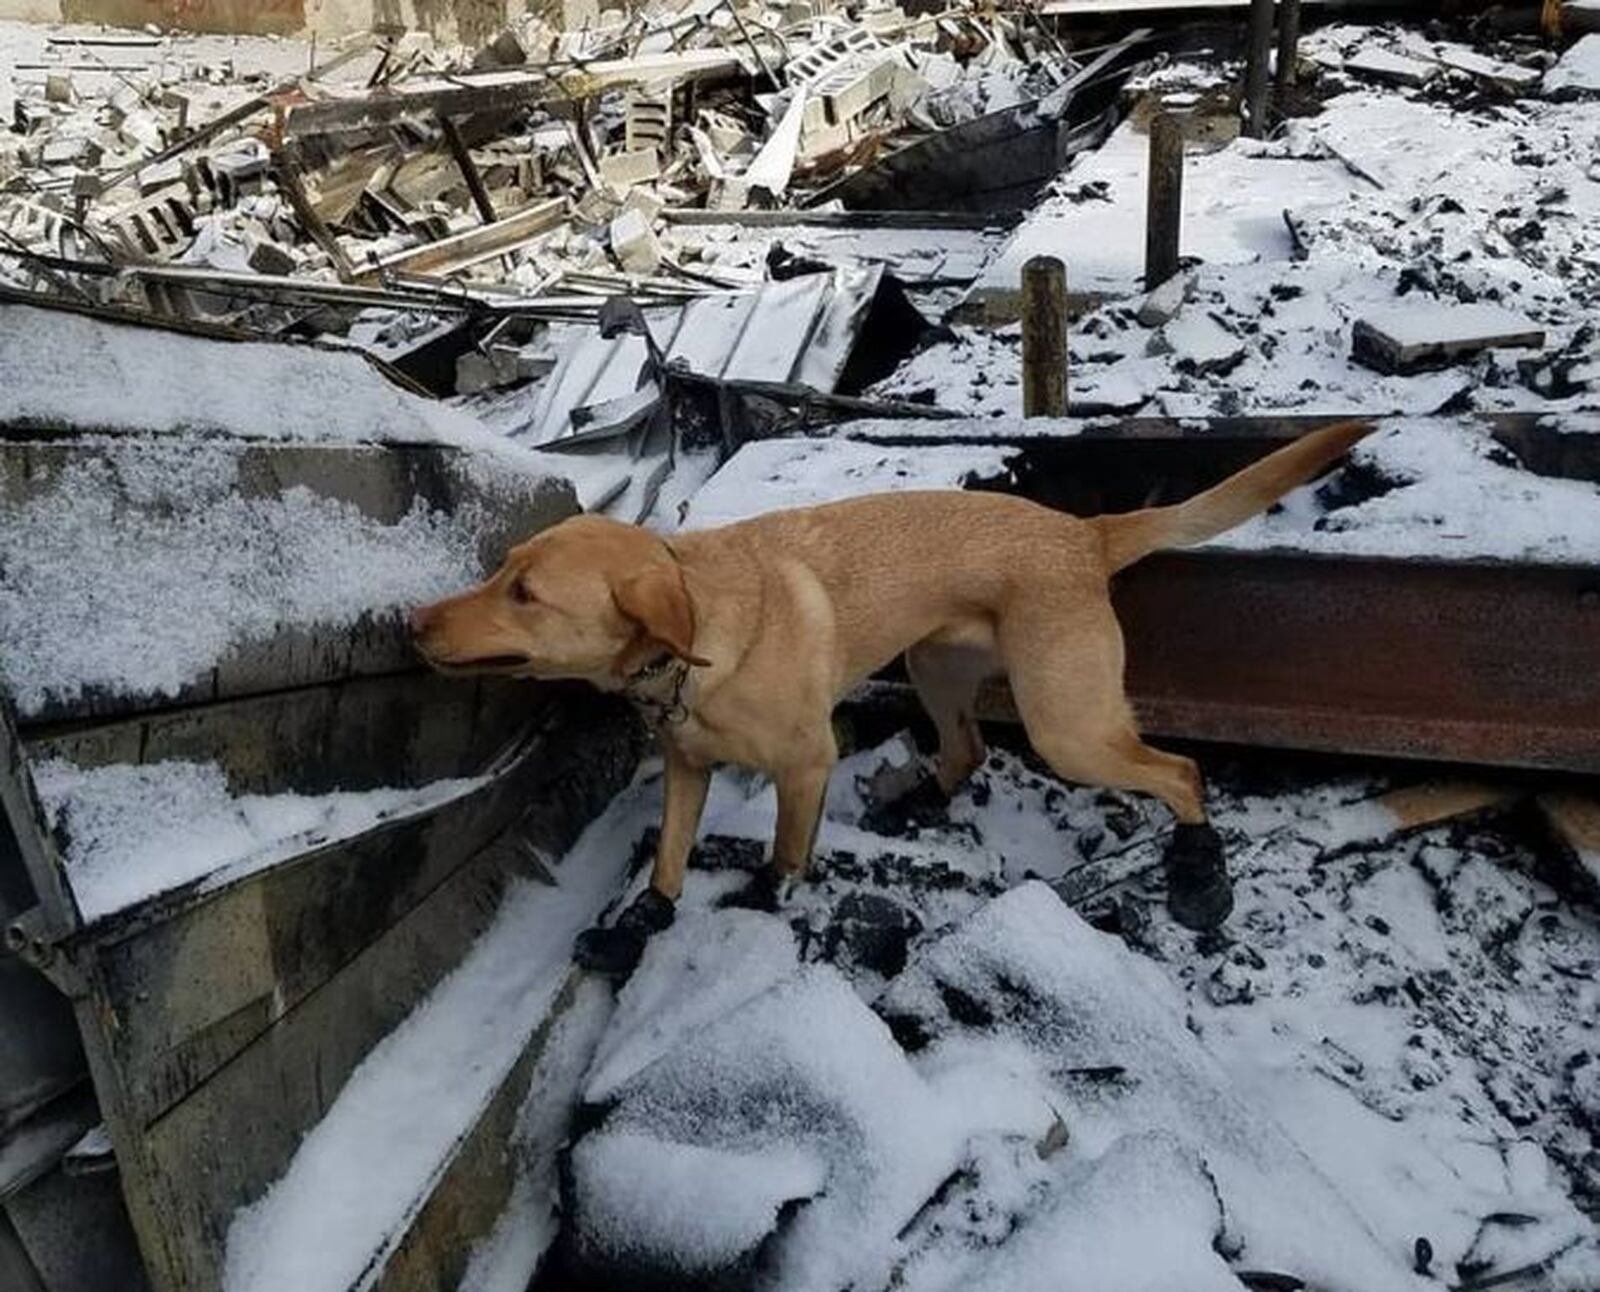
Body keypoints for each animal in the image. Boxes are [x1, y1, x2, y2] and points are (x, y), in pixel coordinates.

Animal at [412, 418, 1376, 972]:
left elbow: (783, 861)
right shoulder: (688, 767)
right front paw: (637, 928)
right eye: (501, 569)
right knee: (967, 748)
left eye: (524, 595)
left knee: (1179, 772)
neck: (692, 645)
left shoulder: (808, 764)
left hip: (1066, 723)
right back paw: (916, 804)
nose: (413, 624)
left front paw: (757, 910)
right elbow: (667, 864)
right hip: (935, 669)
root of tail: (1082, 533)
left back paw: (1201, 874)